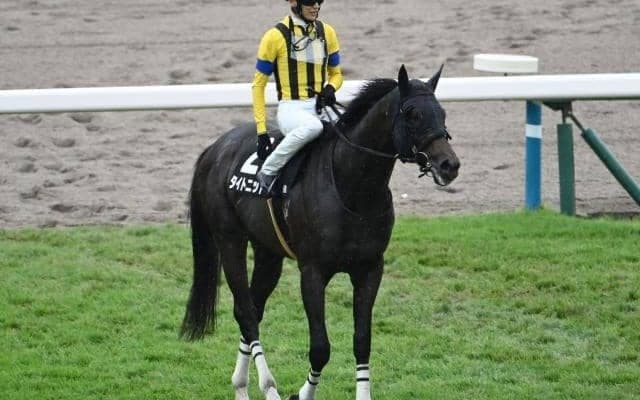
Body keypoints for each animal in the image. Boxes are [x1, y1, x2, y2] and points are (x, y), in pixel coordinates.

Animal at [181, 65, 460, 400]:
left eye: (442, 112)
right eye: (412, 114)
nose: (449, 164)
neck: (351, 188)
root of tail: (215, 148)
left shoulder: (370, 269)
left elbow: (362, 341)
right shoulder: (312, 272)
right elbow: (320, 348)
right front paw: (301, 394)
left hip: (268, 251)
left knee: (254, 309)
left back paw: (241, 386)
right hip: (230, 239)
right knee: (245, 312)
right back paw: (268, 386)